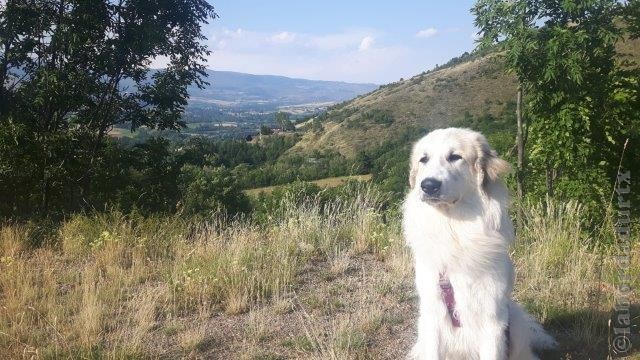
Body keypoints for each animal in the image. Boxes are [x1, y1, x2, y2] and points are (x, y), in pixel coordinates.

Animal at [404, 128, 556, 358]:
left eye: (455, 157)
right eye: (424, 159)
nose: (428, 185)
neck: (454, 228)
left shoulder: (492, 319)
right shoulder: (432, 314)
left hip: (515, 323)